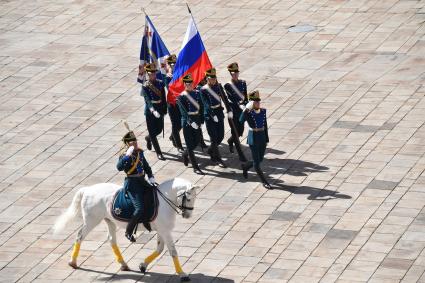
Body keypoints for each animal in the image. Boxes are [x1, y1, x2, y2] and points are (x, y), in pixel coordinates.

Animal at [53, 179, 198, 282]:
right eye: (188, 198)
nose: (188, 215)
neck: (163, 200)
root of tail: (87, 189)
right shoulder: (165, 231)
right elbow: (173, 251)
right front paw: (182, 274)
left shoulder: (162, 230)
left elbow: (159, 249)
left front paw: (143, 265)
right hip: (92, 221)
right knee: (80, 236)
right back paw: (73, 262)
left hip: (109, 221)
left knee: (111, 240)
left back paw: (123, 264)